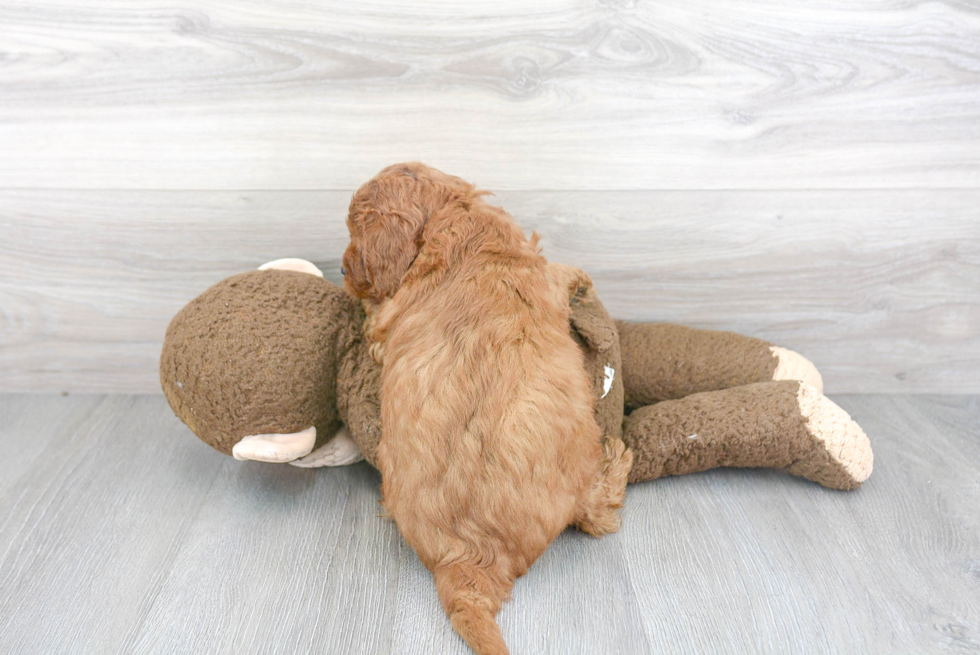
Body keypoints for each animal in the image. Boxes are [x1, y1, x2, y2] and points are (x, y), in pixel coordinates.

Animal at [344, 163, 632, 655]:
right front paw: (579, 276)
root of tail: (468, 559)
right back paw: (618, 460)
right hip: (580, 457)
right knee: (596, 515)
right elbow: (558, 272)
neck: (448, 218)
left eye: (353, 234)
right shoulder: (541, 276)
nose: (342, 268)